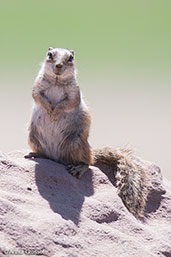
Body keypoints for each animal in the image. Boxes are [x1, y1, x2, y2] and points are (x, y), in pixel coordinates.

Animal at [25, 47, 150, 216]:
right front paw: (49, 110)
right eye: (50, 55)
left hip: (76, 143)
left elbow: (69, 103)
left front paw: (55, 112)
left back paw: (79, 168)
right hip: (33, 137)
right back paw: (37, 155)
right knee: (50, 156)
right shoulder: (37, 86)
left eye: (70, 58)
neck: (57, 80)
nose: (58, 66)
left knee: (88, 163)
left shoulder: (74, 93)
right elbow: (37, 96)